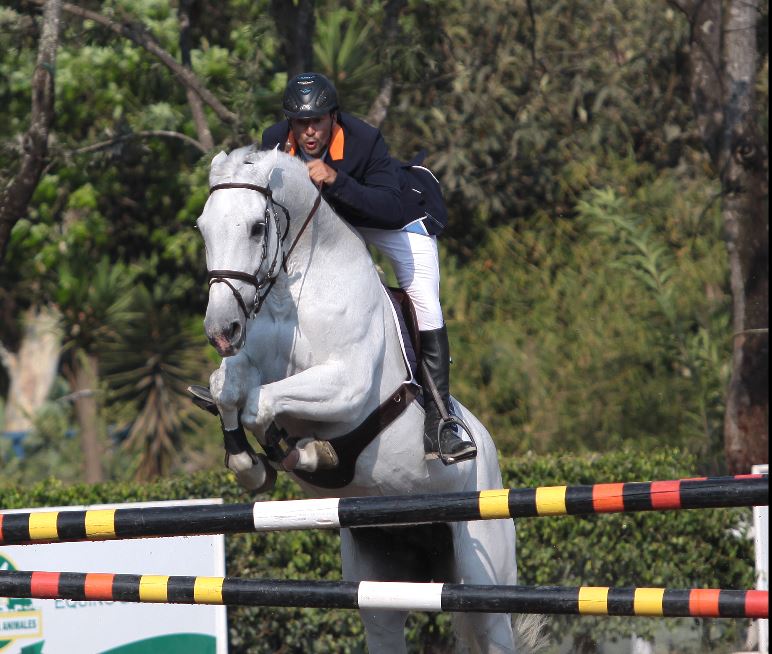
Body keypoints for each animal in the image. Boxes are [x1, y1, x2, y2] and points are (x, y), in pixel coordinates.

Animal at [199, 147, 536, 654]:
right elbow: (228, 389)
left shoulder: (347, 386)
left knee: (491, 621)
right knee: (383, 621)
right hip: (377, 583)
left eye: (257, 227)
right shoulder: (249, 359)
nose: (221, 329)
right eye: (203, 227)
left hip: (484, 576)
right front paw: (250, 462)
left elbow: (261, 403)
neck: (290, 294)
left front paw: (301, 452)